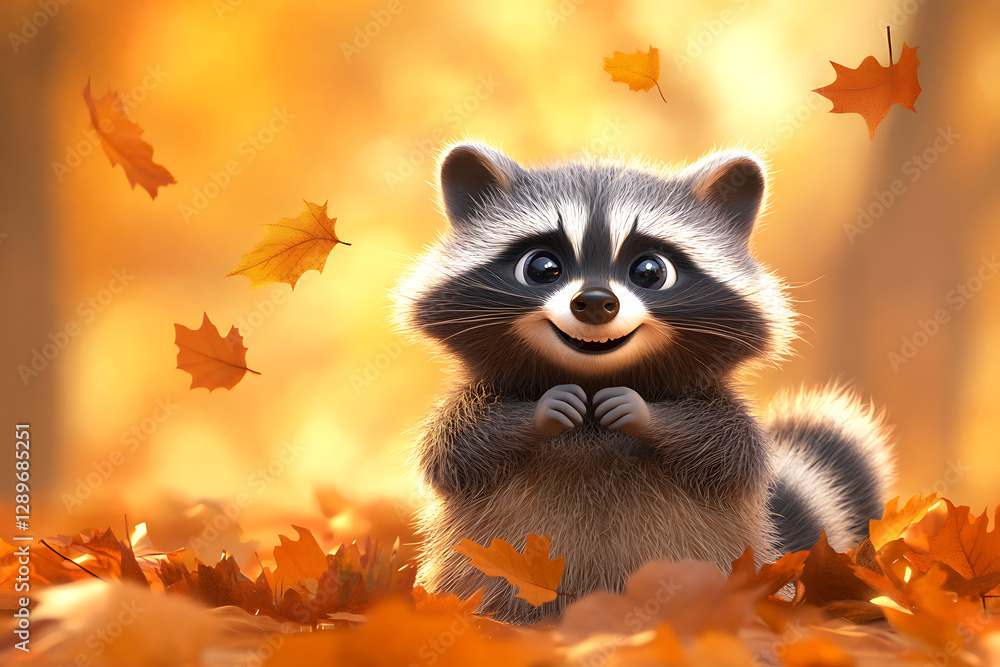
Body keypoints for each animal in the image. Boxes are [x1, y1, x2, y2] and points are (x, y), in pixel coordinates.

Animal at [394, 141, 894, 624]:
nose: (596, 302)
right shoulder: (473, 404)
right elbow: (454, 450)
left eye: (650, 271)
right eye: (542, 267)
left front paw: (643, 411)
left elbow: (732, 453)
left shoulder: (720, 410)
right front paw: (541, 409)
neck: (594, 377)